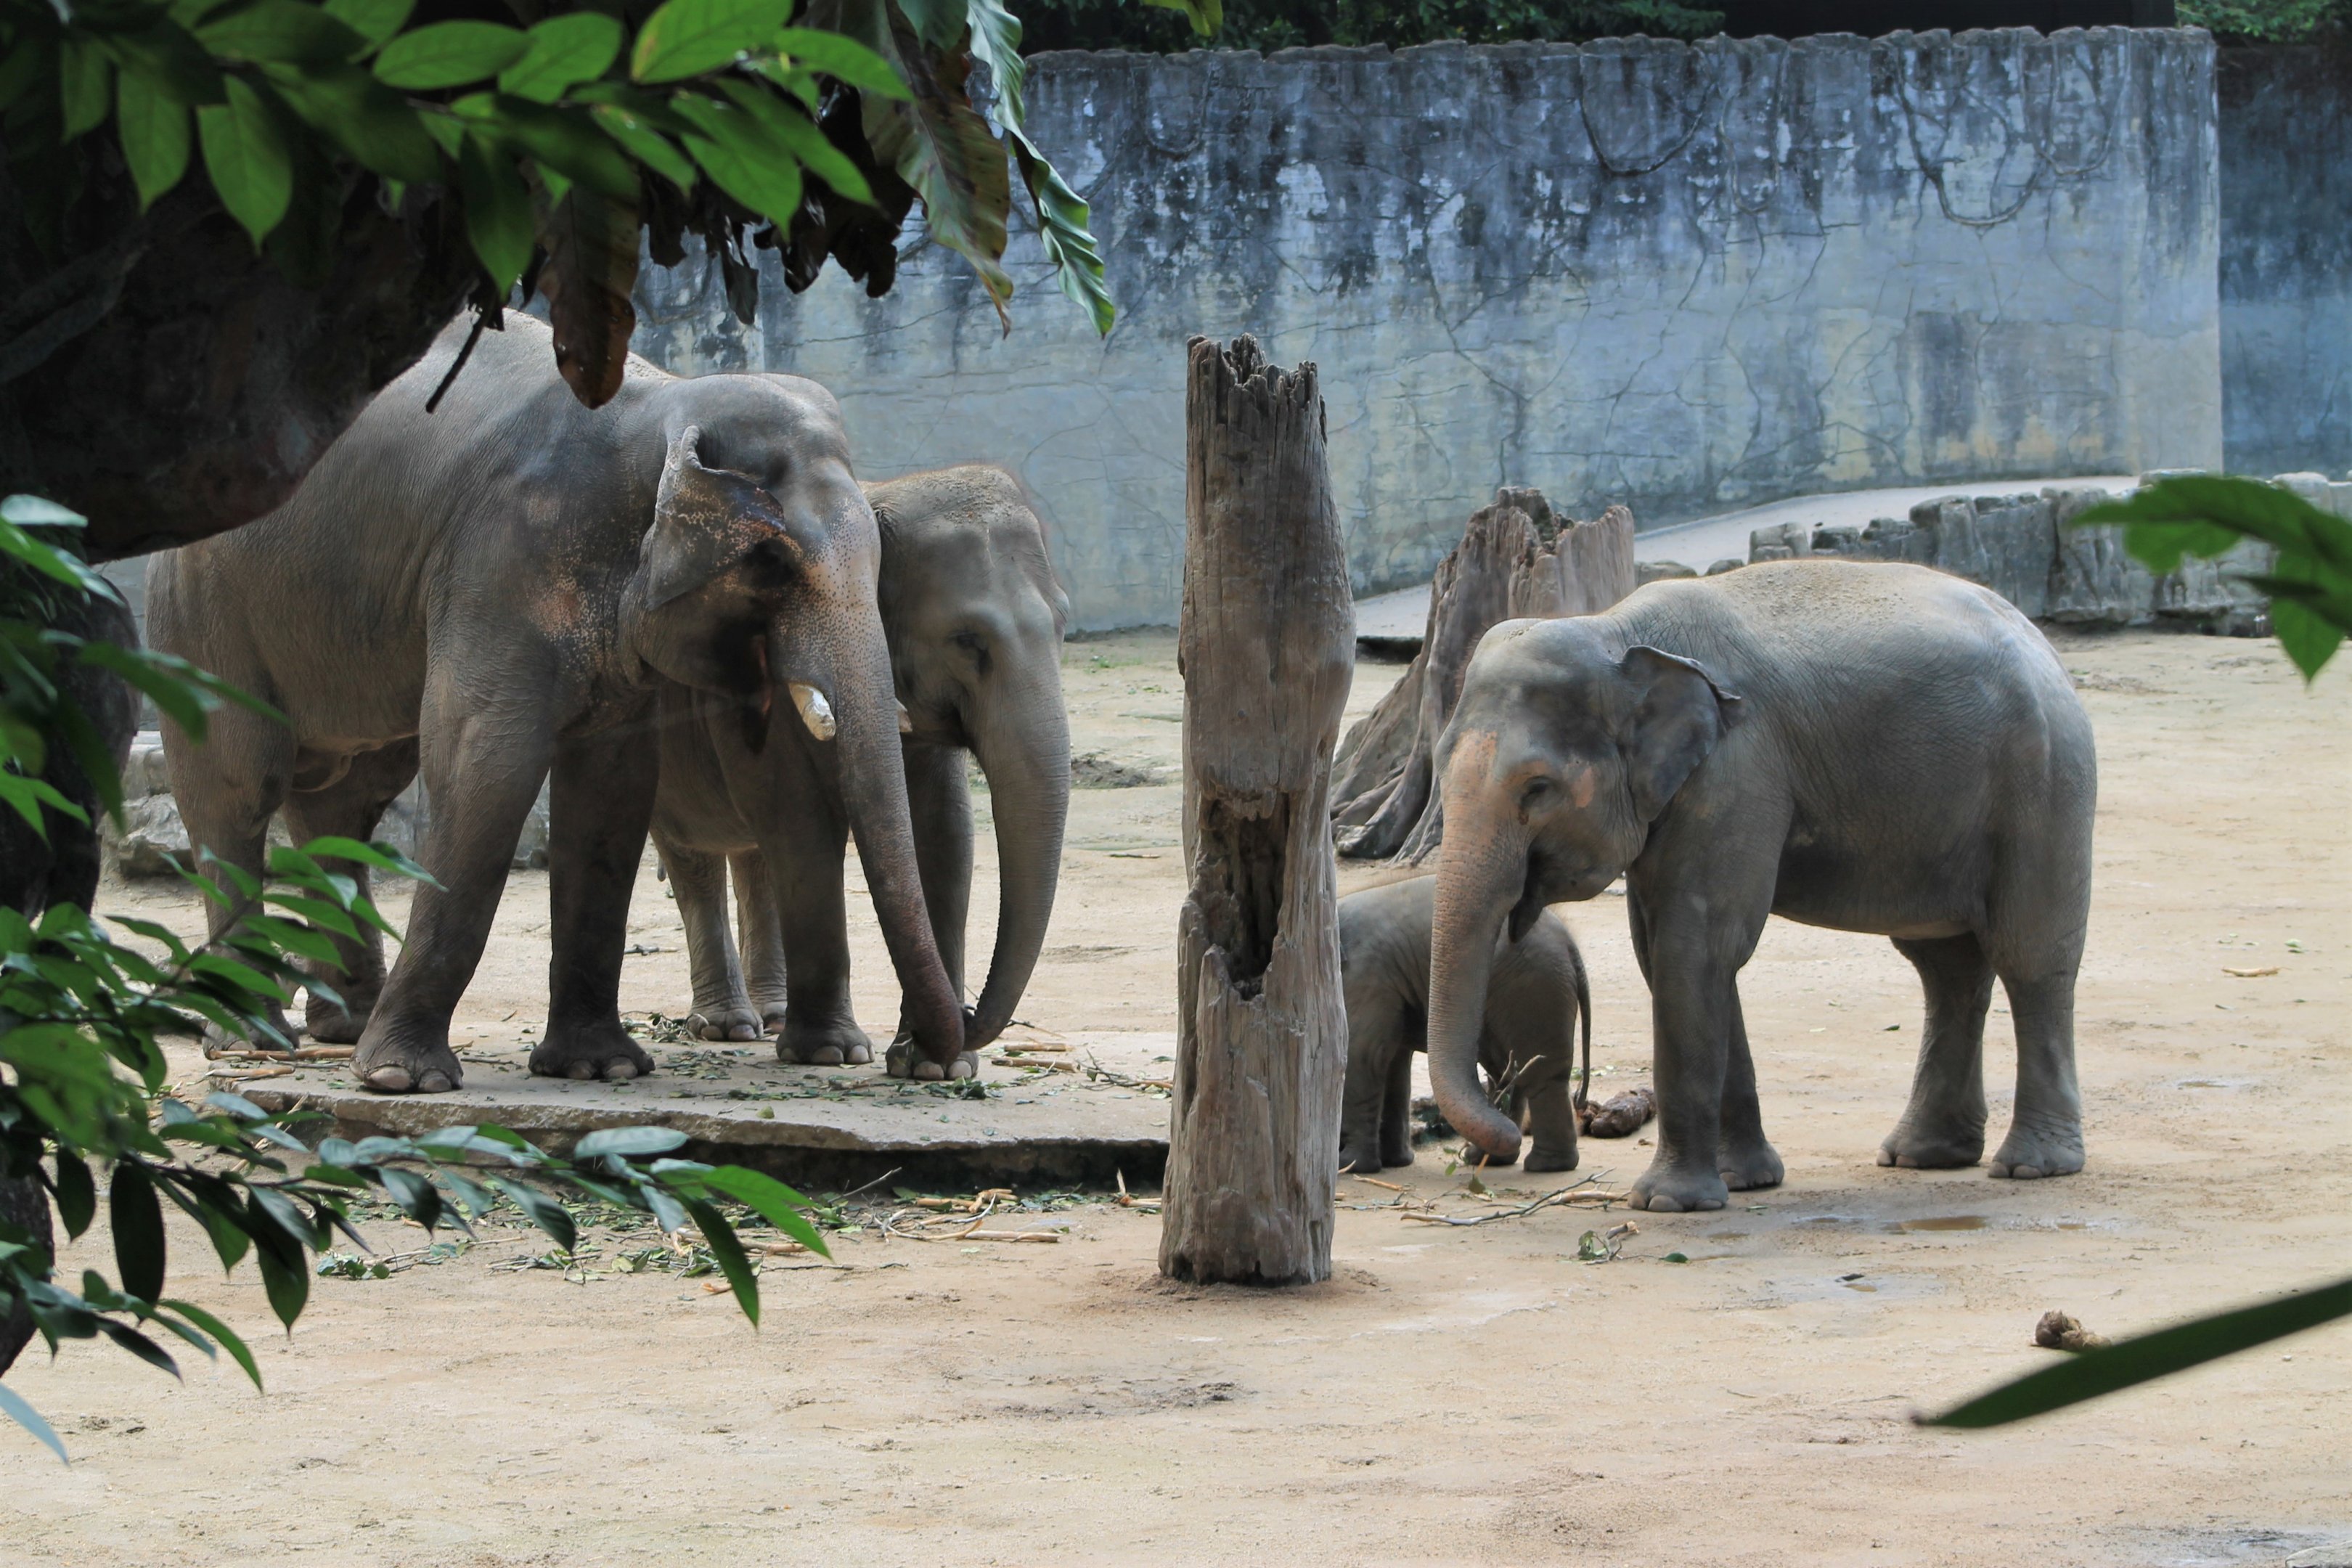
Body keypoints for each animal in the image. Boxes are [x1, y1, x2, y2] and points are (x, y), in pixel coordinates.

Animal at [146, 313, 964, 1093]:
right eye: (771, 562)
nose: (926, 1059)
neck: (663, 402)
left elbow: (612, 790)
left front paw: (599, 1069)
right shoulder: (502, 561)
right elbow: (485, 768)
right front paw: (403, 1081)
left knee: (348, 802)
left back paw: (341, 1028)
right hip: (203, 617)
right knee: (238, 790)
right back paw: (254, 1037)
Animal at [650, 465, 1071, 1077]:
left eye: (1064, 624)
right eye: (966, 640)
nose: (967, 1018)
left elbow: (945, 832)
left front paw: (933, 1068)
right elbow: (800, 822)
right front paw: (831, 1053)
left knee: (754, 858)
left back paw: (772, 1015)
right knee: (694, 854)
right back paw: (728, 1026)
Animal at [1337, 875, 1589, 1176]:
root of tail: (1571, 948)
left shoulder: (1367, 975)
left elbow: (1362, 1053)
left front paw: (1351, 1166)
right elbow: (1394, 1062)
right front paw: (1396, 1162)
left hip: (1534, 988)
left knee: (1540, 1073)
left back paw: (1546, 1165)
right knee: (1507, 1070)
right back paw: (1485, 1158)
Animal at [1422, 560, 2096, 1213]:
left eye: (1537, 788)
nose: (1498, 1146)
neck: (1614, 629)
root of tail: (2043, 644)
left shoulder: (1738, 767)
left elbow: (1697, 947)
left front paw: (1668, 1203)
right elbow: (1663, 952)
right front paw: (1742, 1181)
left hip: (2044, 784)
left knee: (2030, 957)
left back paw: (2033, 1166)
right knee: (1947, 966)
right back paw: (1922, 1156)